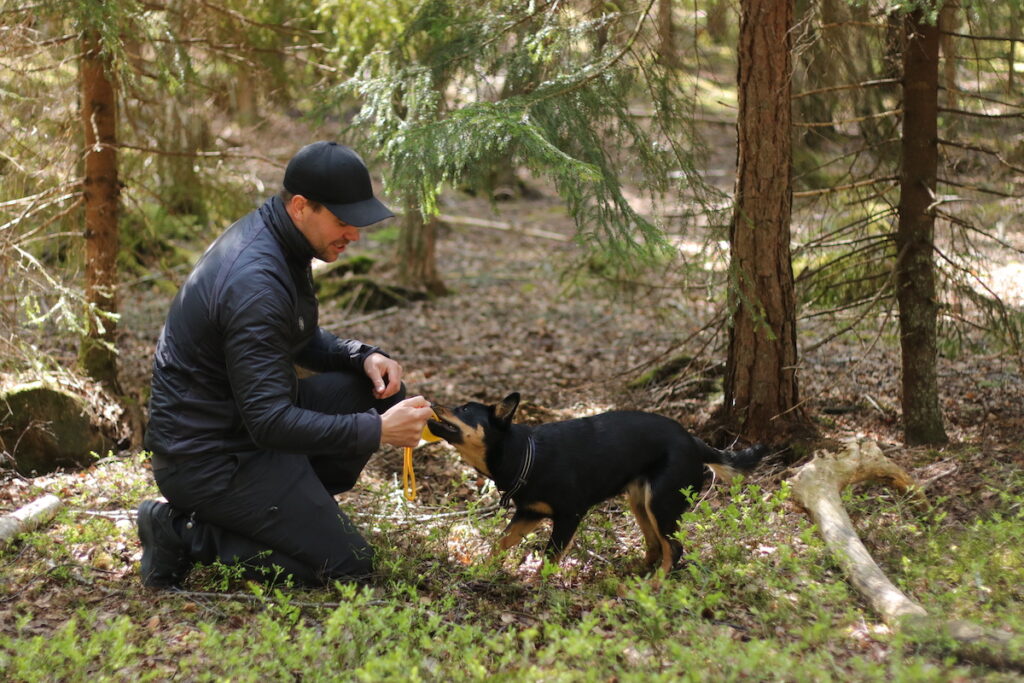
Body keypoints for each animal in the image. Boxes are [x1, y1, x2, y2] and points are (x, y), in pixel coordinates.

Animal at [425, 393, 770, 573]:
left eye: (464, 409)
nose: (431, 403)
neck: (524, 454)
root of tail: (695, 443)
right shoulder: (530, 513)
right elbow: (501, 542)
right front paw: (481, 569)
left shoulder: (568, 516)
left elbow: (549, 557)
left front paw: (533, 584)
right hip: (641, 502)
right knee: (655, 544)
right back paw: (636, 576)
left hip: (662, 503)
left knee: (674, 547)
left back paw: (655, 586)